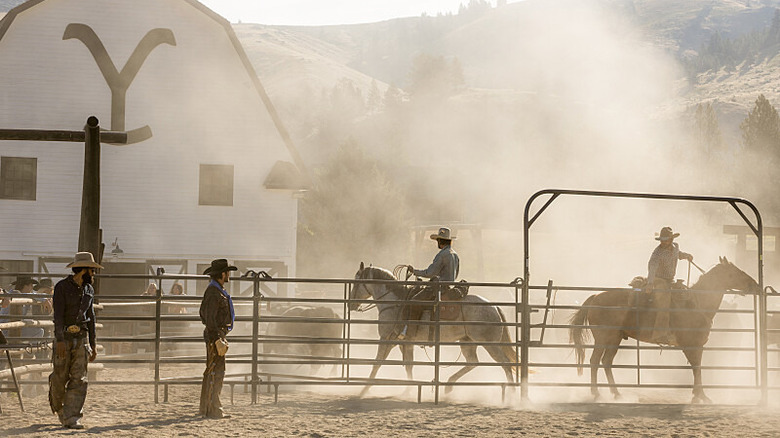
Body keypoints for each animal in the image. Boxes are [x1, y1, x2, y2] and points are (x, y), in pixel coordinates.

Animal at [568, 256, 760, 404]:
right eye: (735, 272)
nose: (756, 285)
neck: (697, 303)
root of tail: (595, 297)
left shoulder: (698, 345)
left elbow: (697, 367)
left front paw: (698, 395)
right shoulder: (690, 344)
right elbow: (696, 367)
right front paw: (701, 396)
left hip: (615, 339)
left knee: (606, 361)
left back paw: (617, 394)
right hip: (603, 337)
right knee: (594, 361)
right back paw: (596, 393)